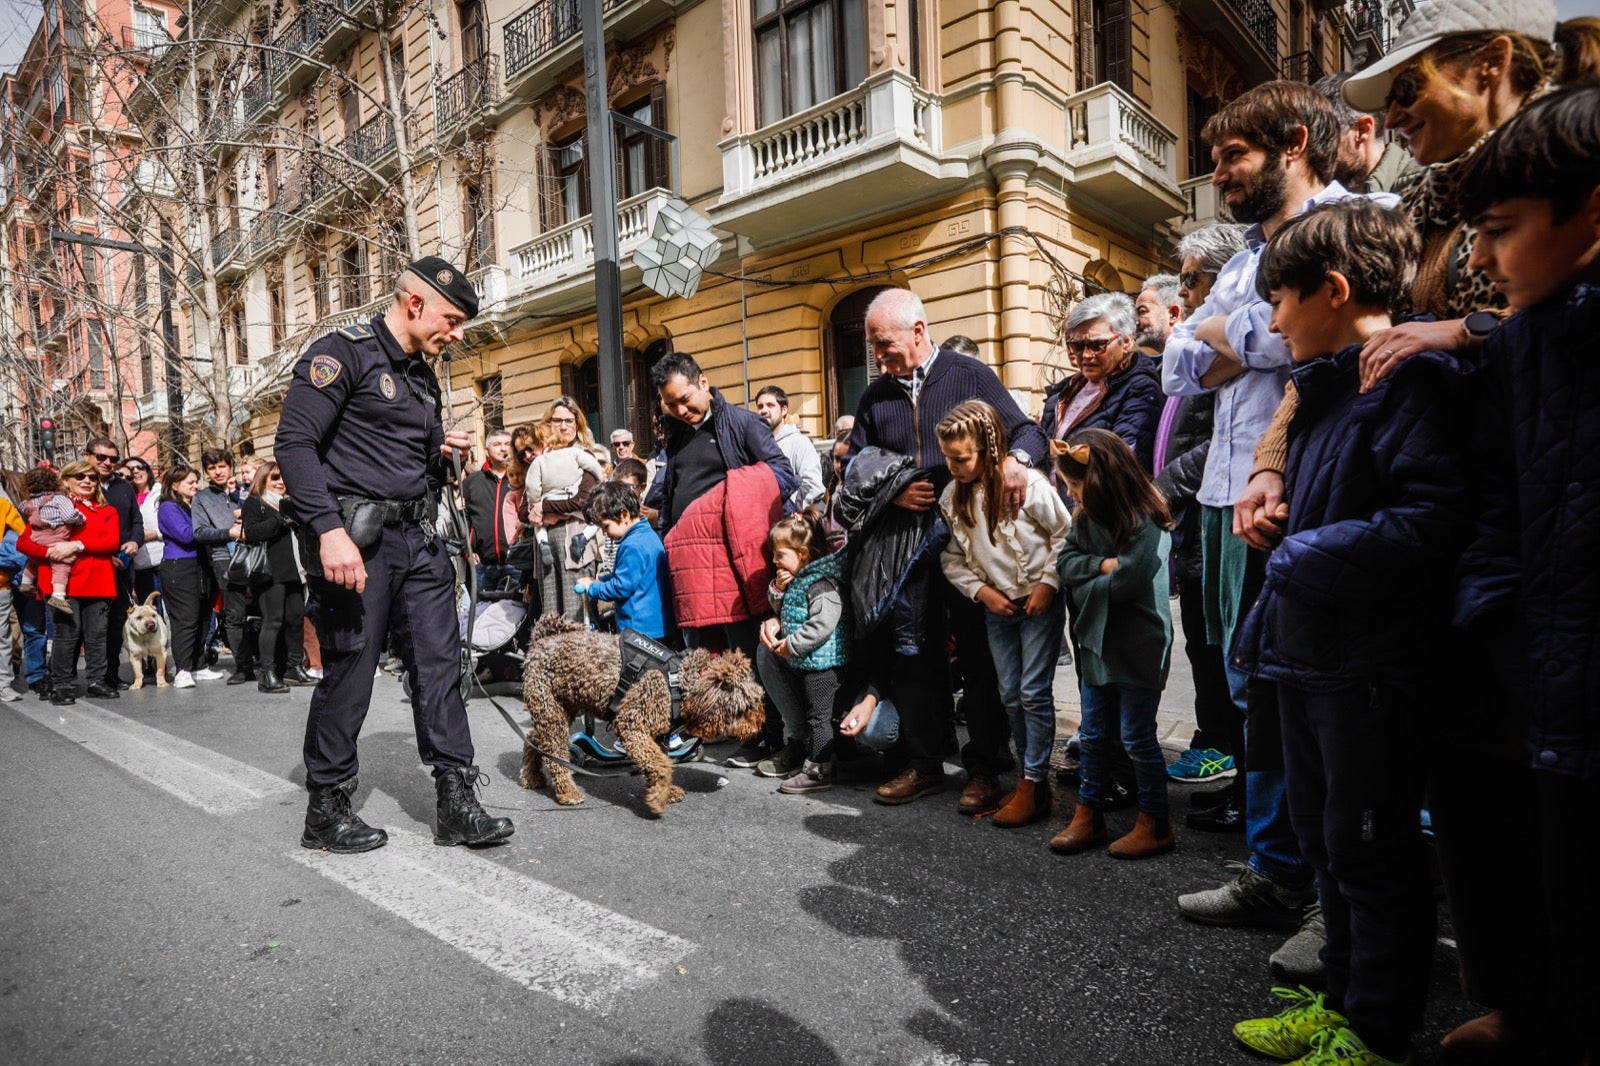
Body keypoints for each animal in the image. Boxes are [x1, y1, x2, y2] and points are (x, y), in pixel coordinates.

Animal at [512, 614, 761, 813]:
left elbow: (659, 762)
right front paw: (658, 798)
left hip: (561, 709)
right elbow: (660, 764)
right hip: (551, 712)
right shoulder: (632, 725)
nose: (757, 728)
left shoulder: (656, 735)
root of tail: (541, 640)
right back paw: (567, 791)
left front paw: (664, 790)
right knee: (555, 754)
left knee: (534, 740)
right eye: (744, 708)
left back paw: (531, 777)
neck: (679, 681)